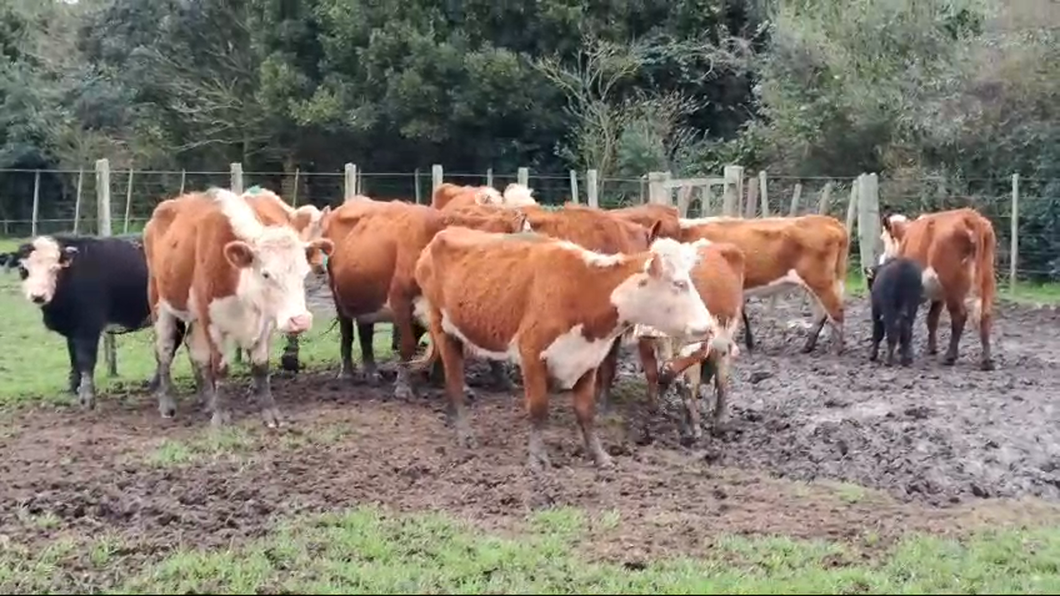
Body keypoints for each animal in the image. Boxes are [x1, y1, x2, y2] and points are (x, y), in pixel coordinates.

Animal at [140, 187, 330, 424]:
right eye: (266, 274)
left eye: (303, 274)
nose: (300, 320)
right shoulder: (212, 322)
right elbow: (220, 367)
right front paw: (220, 415)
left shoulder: (264, 323)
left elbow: (260, 367)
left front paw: (270, 413)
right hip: (161, 306)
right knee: (164, 353)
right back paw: (168, 404)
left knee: (196, 352)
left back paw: (207, 401)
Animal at [409, 226, 716, 468]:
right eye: (678, 283)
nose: (708, 326)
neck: (584, 289)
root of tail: (441, 235)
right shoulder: (532, 354)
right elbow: (538, 408)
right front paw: (537, 459)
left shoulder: (588, 360)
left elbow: (586, 412)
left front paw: (600, 456)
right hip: (443, 328)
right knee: (454, 381)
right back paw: (465, 434)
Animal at [635, 236, 746, 441]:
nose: (648, 329)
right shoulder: (650, 343)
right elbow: (660, 375)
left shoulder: (694, 345)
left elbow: (686, 384)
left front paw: (693, 429)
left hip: (726, 338)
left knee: (722, 379)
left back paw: (720, 422)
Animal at [678, 214, 852, 349]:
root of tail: (829, 221)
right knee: (821, 312)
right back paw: (808, 346)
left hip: (821, 280)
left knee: (836, 310)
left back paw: (837, 349)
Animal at [877, 206, 992, 369]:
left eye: (883, 239)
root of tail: (970, 216)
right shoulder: (939, 294)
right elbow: (932, 318)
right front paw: (932, 348)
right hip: (987, 281)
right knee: (985, 315)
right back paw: (986, 360)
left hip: (952, 285)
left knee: (959, 316)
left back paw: (950, 356)